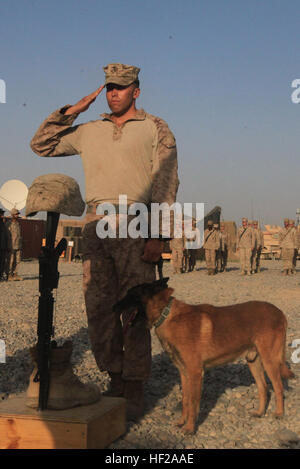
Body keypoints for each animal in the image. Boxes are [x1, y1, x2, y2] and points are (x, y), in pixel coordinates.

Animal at [113, 276, 294, 434]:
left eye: (131, 294)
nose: (114, 306)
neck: (166, 314)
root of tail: (280, 312)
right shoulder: (184, 373)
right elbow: (185, 400)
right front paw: (182, 422)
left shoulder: (195, 373)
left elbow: (193, 402)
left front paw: (190, 429)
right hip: (253, 362)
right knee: (264, 388)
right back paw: (260, 412)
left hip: (269, 361)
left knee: (278, 387)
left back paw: (279, 413)